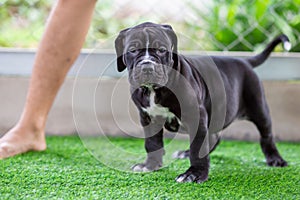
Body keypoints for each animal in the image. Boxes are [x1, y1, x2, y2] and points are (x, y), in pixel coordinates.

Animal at [114, 21, 288, 183]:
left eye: (162, 50)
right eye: (132, 50)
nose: (147, 67)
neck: (153, 90)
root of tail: (244, 62)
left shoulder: (196, 115)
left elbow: (197, 147)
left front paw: (194, 174)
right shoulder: (148, 117)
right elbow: (152, 143)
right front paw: (150, 165)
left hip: (258, 106)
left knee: (266, 135)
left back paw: (275, 159)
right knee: (213, 137)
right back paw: (185, 153)